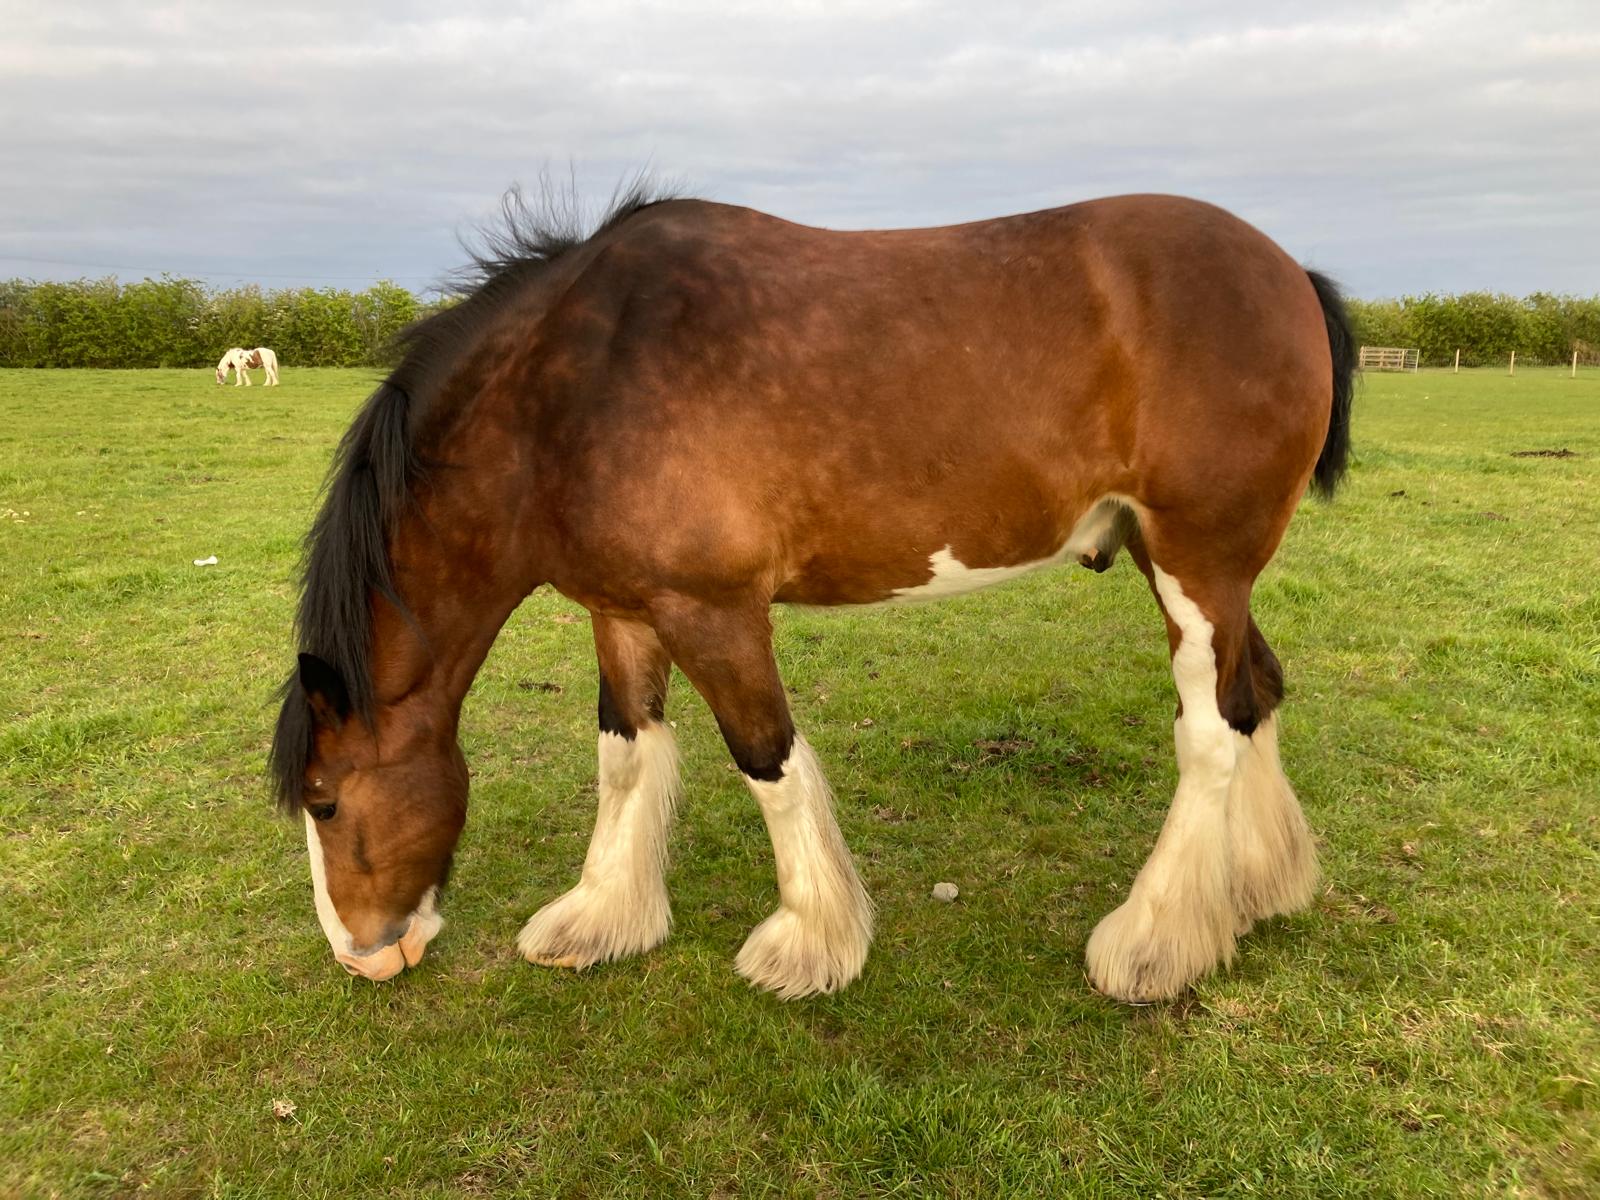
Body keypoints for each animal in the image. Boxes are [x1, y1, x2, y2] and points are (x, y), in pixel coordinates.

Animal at [270, 184, 1355, 1003]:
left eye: (323, 801)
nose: (364, 954)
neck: (570, 386)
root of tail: (1287, 274)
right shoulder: (622, 612)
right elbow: (625, 757)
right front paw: (601, 916)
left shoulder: (712, 611)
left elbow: (769, 764)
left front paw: (807, 942)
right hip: (1194, 569)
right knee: (1252, 693)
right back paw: (1257, 889)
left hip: (1196, 562)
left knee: (1208, 735)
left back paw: (1154, 941)